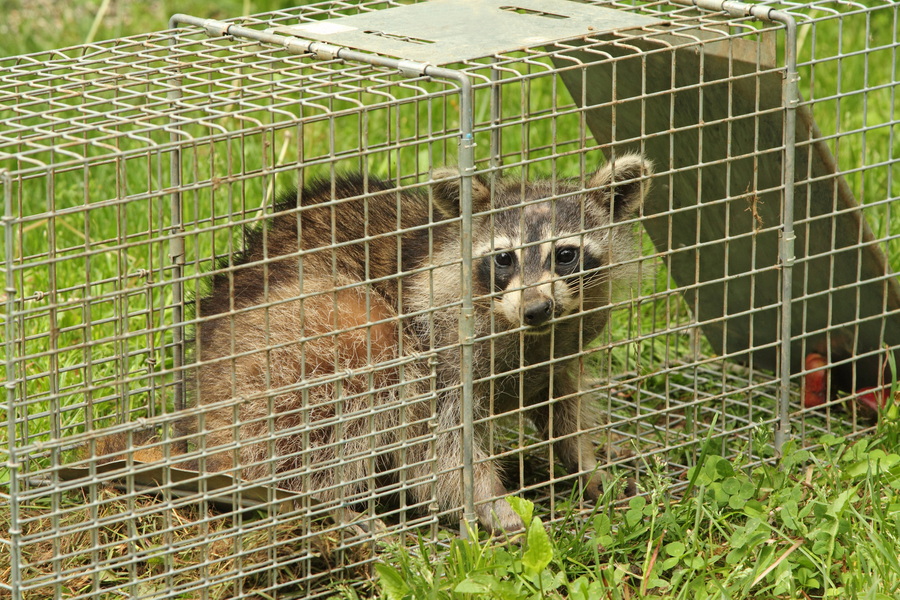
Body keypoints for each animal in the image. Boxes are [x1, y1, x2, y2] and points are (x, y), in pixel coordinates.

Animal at [103, 156, 652, 536]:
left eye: (566, 255)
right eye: (504, 259)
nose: (537, 308)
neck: (524, 334)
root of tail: (196, 427)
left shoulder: (561, 346)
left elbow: (563, 406)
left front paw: (588, 466)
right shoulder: (440, 347)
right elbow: (440, 451)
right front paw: (491, 504)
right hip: (284, 350)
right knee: (358, 371)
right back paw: (327, 505)